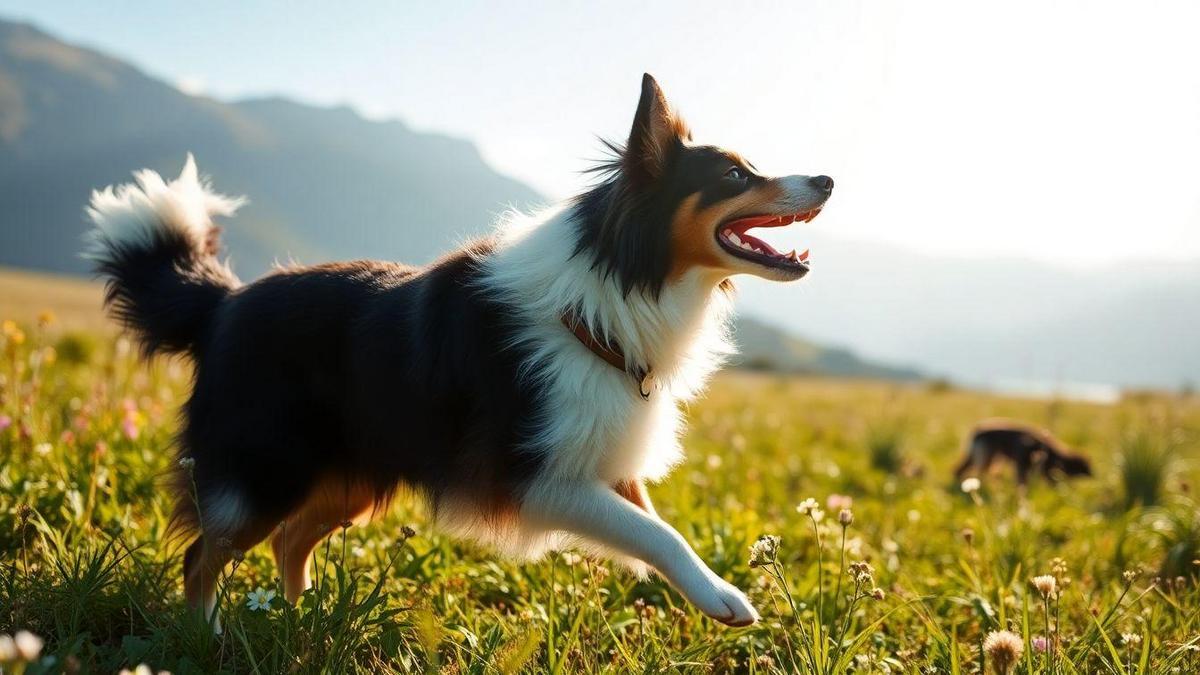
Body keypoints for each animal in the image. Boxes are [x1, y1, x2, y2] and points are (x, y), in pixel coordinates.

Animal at [87, 74, 835, 624]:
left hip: (350, 473)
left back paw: (302, 620)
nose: (827, 180)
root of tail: (223, 302)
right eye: (735, 176)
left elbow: (652, 521)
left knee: (288, 539)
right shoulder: (534, 477)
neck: (614, 287)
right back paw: (208, 638)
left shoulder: (598, 455)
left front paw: (712, 588)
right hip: (267, 468)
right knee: (204, 556)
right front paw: (724, 597)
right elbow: (658, 532)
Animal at [950, 417, 1094, 485]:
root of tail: (977, 430)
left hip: (992, 458)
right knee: (977, 471)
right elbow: (1022, 480)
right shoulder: (1021, 459)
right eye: (1087, 467)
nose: (1094, 475)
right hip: (988, 457)